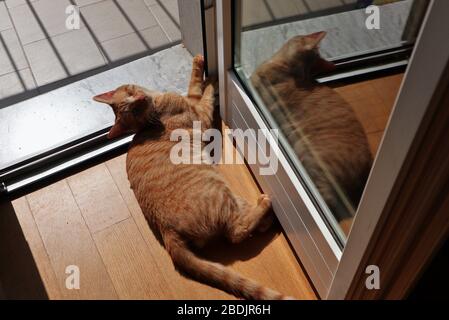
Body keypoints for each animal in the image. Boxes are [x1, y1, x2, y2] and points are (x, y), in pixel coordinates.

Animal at [94, 54, 290, 300]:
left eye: (132, 95)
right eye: (134, 108)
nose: (139, 97)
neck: (154, 114)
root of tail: (166, 231)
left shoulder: (193, 104)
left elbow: (194, 87)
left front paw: (202, 67)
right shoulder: (200, 115)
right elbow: (202, 91)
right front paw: (210, 75)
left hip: (232, 196)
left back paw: (267, 219)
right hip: (220, 191)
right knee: (237, 232)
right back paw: (266, 206)